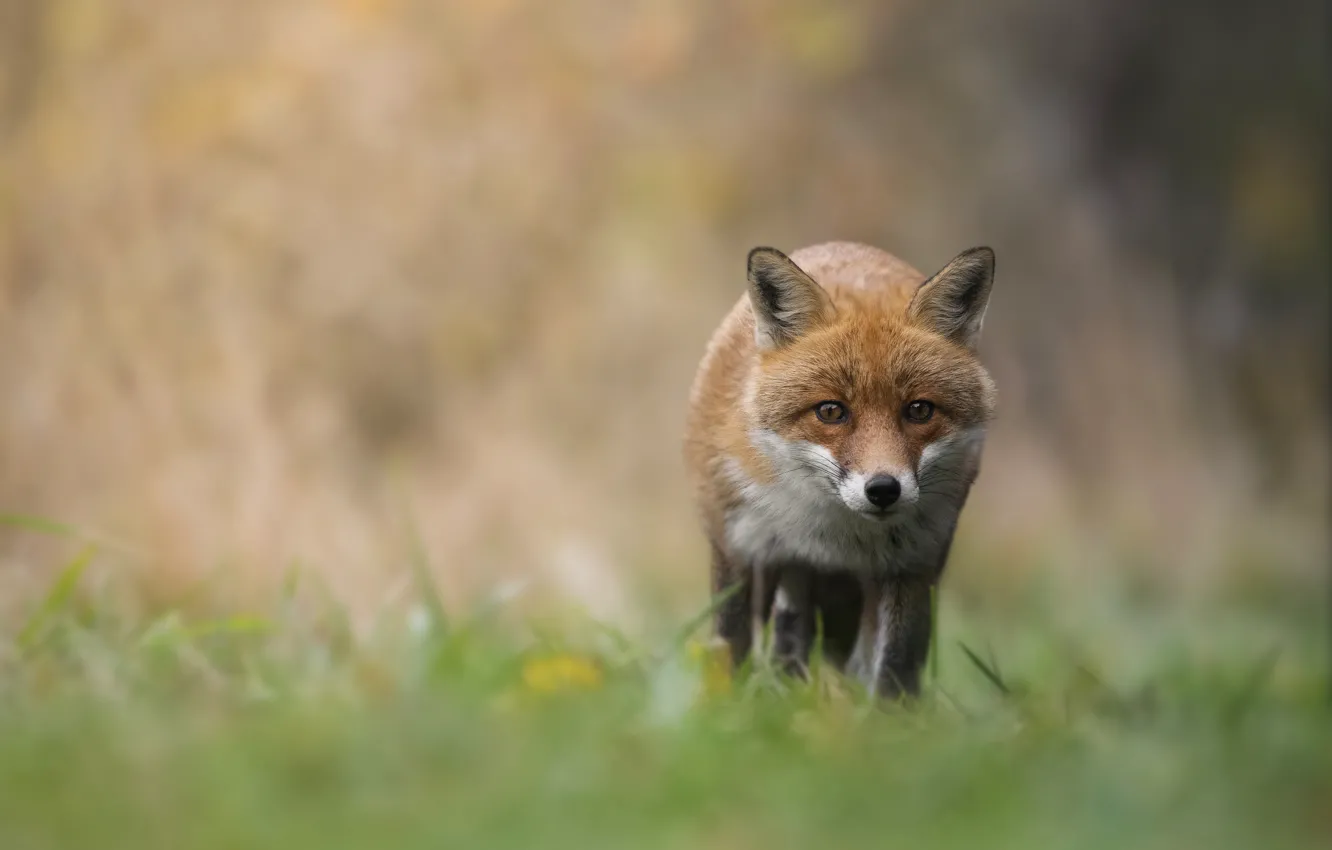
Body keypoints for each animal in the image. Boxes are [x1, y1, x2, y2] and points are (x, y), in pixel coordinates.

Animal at [683, 241, 997, 698]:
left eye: (919, 410)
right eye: (831, 411)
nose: (883, 489)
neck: (833, 536)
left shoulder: (913, 565)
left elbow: (895, 669)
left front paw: (889, 718)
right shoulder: (739, 547)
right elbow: (729, 649)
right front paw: (724, 709)